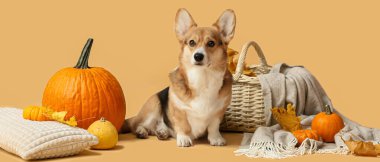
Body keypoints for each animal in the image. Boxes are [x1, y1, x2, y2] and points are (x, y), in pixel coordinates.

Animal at [121, 8, 235, 147]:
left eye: (211, 43)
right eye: (192, 42)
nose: (198, 56)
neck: (202, 78)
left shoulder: (218, 112)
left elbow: (214, 126)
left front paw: (216, 138)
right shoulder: (179, 110)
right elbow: (182, 125)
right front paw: (184, 139)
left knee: (157, 127)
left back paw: (162, 132)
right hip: (154, 105)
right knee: (137, 125)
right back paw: (142, 131)